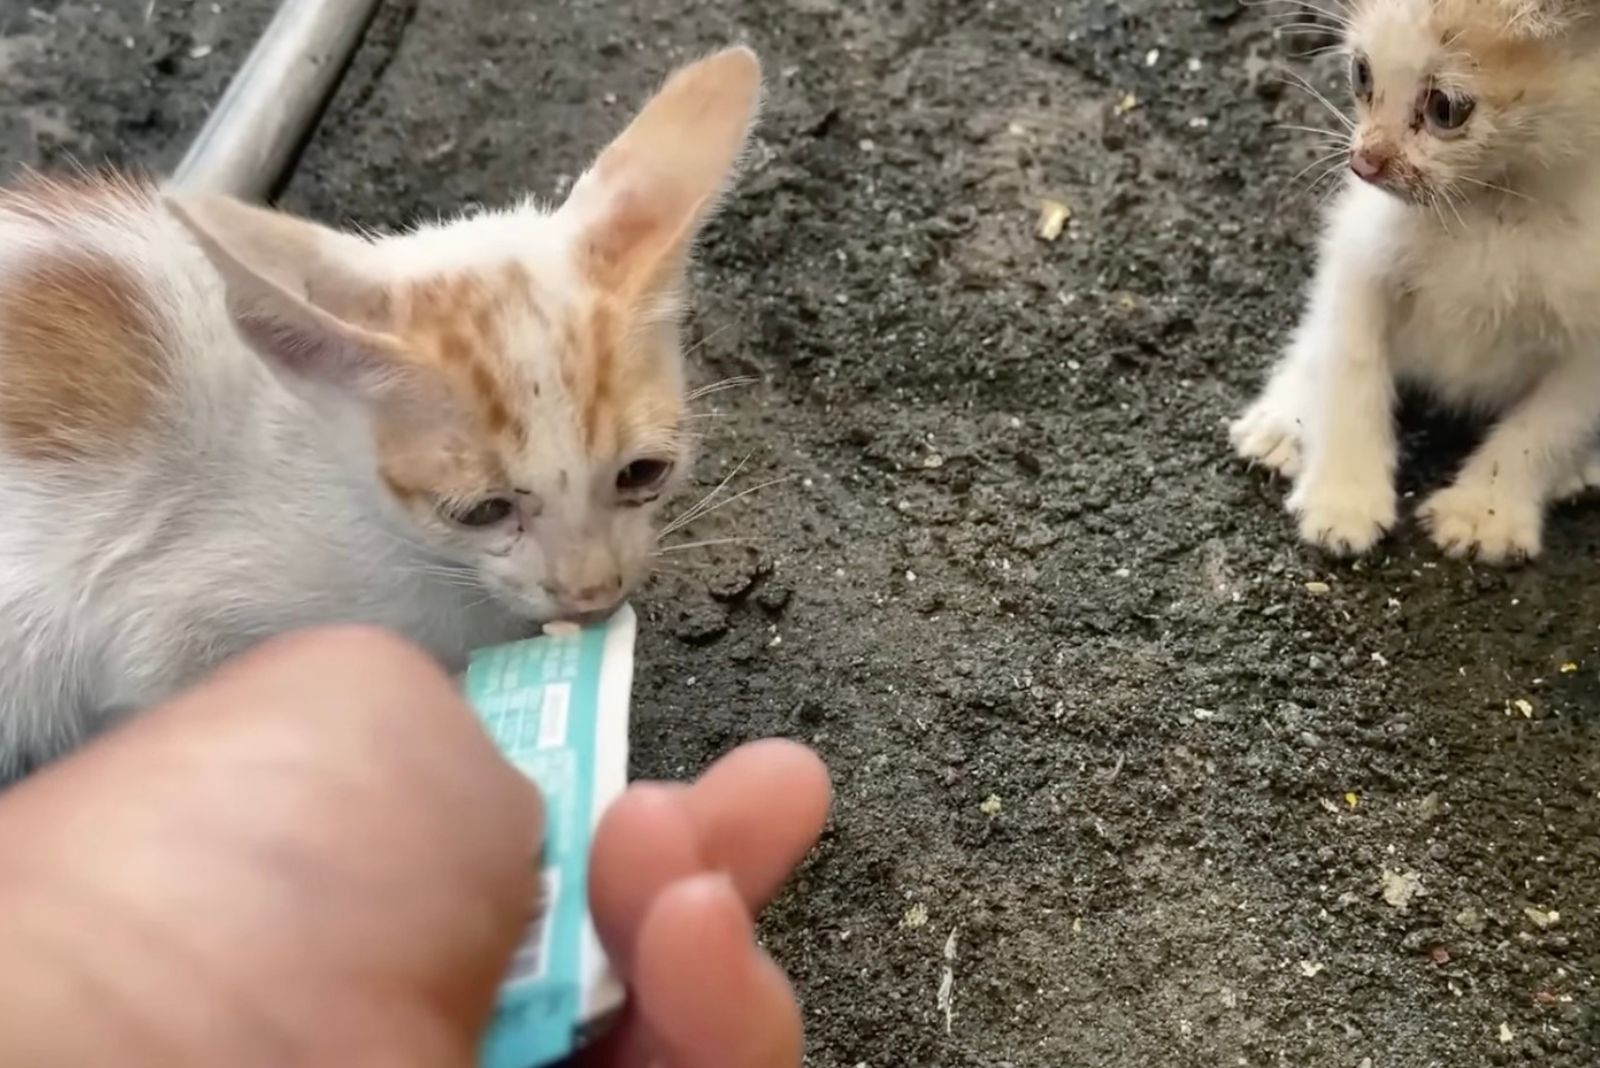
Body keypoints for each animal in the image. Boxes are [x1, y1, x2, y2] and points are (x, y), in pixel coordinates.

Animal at [1228, 0, 1600, 562]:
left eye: (1446, 108)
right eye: (1361, 73)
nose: (1362, 163)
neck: (1500, 206)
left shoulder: (1590, 351)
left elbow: (1548, 425)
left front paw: (1485, 510)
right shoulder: (1361, 254)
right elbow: (1350, 371)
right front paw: (1345, 497)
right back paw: (1282, 422)